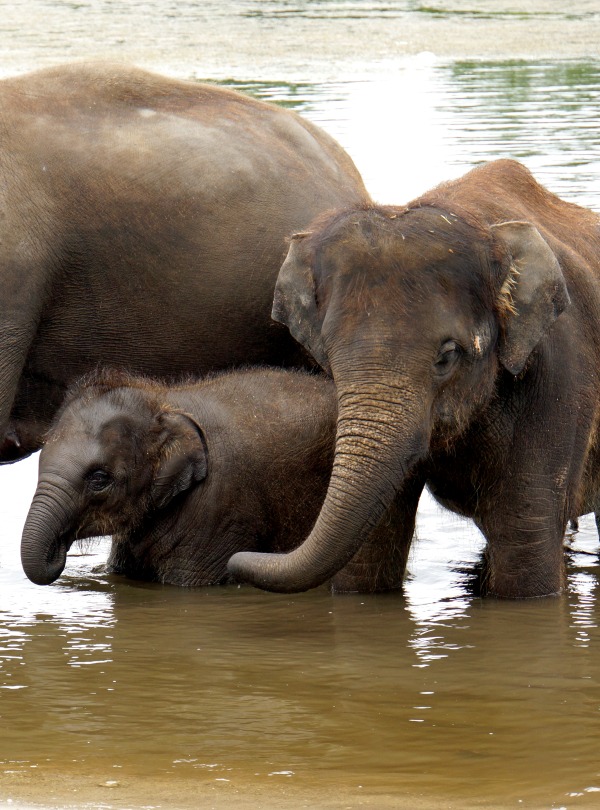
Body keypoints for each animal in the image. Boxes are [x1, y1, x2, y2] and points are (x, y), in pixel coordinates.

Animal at [229, 161, 600, 596]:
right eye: (329, 358)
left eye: (447, 356)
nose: (236, 562)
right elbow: (371, 552)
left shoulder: (559, 380)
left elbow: (525, 550)